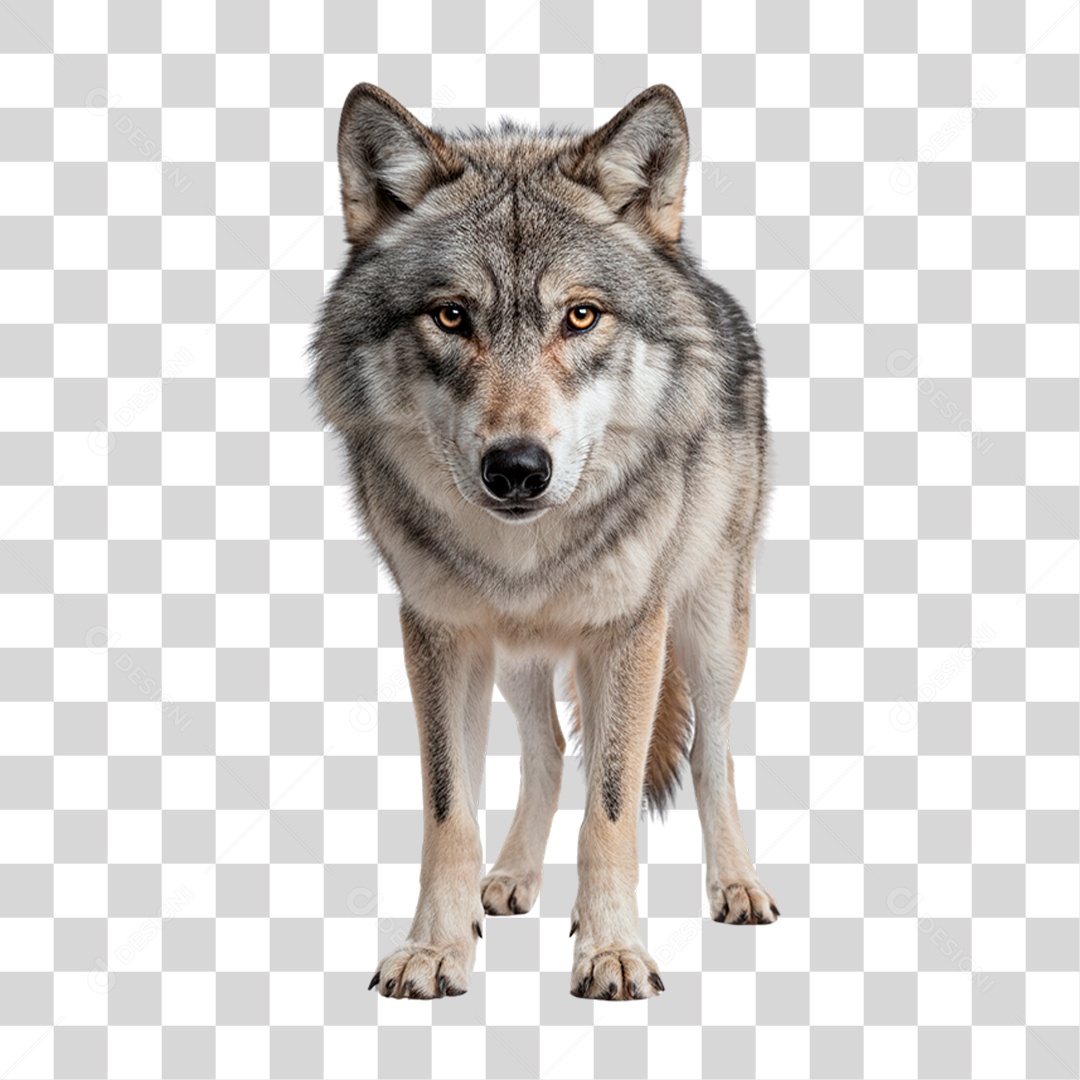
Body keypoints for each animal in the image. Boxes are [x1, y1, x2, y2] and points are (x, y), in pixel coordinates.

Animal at [312, 82, 777, 1001]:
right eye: (452, 316)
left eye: (581, 316)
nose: (519, 468)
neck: (523, 556)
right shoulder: (440, 633)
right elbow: (449, 808)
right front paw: (435, 948)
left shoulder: (629, 631)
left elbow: (612, 808)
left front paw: (613, 951)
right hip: (519, 657)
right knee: (551, 748)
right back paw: (512, 881)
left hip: (709, 626)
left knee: (711, 755)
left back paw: (737, 887)